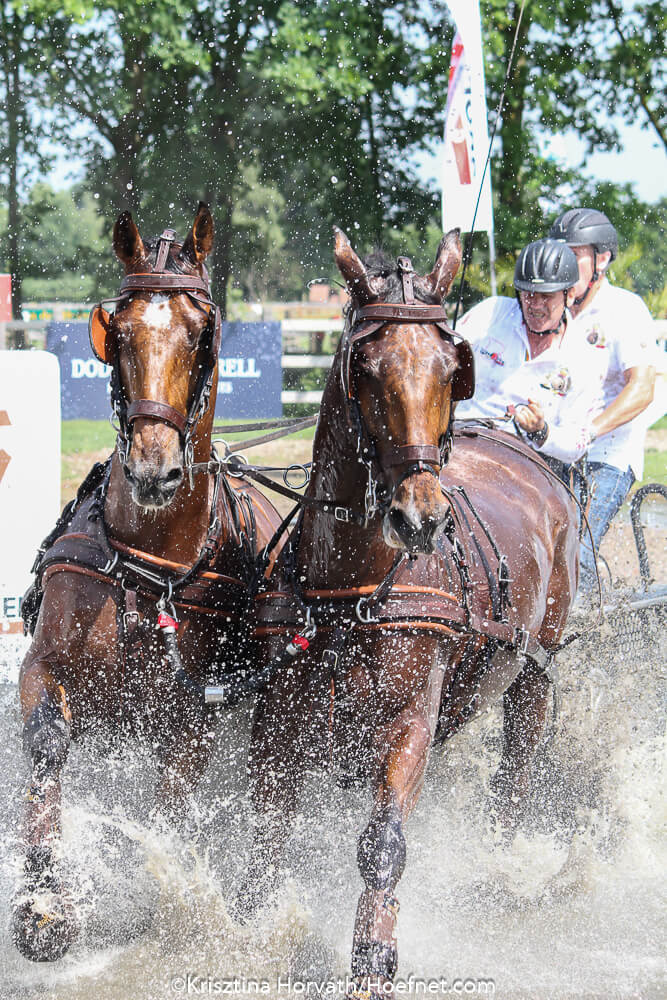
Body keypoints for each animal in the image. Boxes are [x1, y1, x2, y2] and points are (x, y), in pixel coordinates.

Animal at [13, 201, 284, 960]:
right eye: (122, 332)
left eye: (202, 336)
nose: (155, 471)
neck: (144, 567)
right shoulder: (44, 667)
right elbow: (48, 743)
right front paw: (43, 900)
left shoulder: (191, 720)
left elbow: (169, 802)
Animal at [240, 230, 580, 988]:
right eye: (365, 368)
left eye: (450, 369)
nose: (420, 518)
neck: (350, 592)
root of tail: (522, 451)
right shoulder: (278, 719)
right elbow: (267, 826)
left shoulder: (408, 720)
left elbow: (383, 844)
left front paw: (373, 957)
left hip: (533, 670)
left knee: (514, 774)